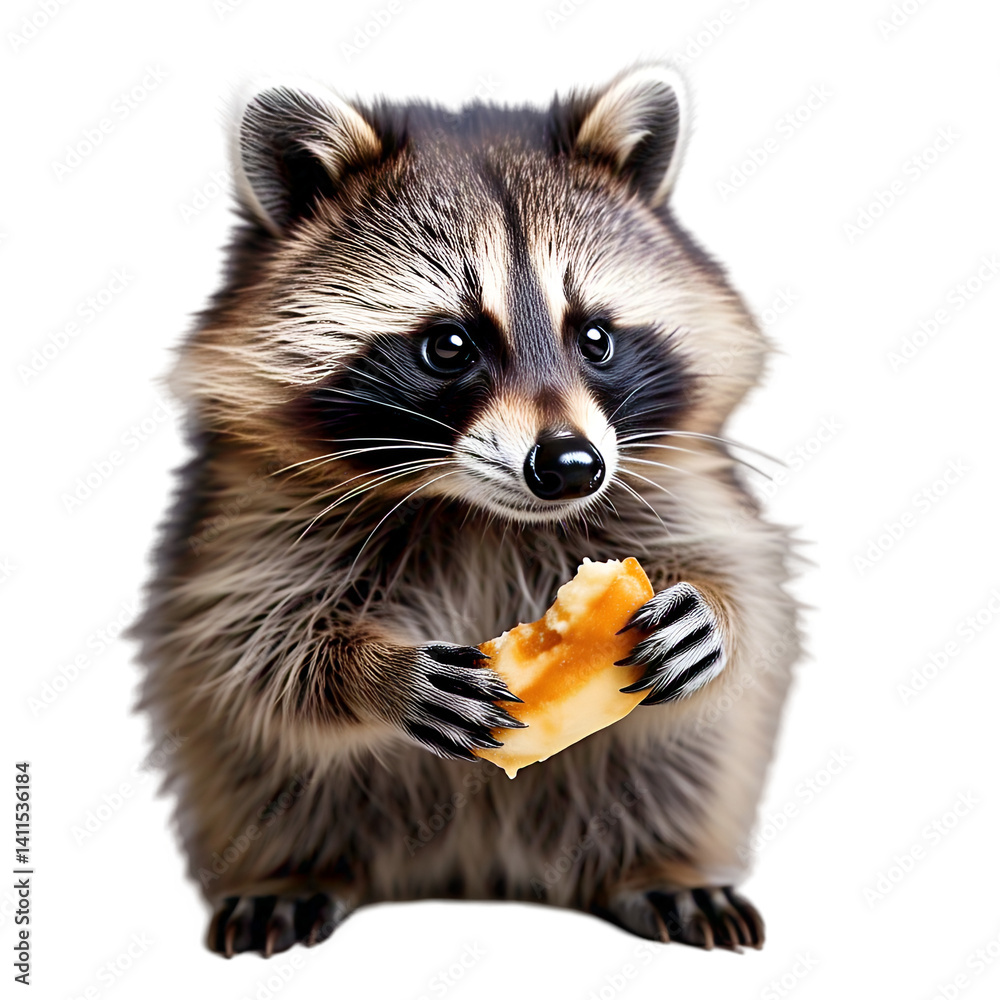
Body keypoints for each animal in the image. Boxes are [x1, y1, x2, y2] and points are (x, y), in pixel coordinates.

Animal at [131, 62, 803, 958]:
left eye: (596, 338)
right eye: (449, 345)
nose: (570, 467)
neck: (481, 509)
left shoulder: (677, 477)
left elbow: (752, 591)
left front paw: (713, 614)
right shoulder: (251, 513)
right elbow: (252, 648)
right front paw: (374, 671)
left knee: (675, 769)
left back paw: (663, 864)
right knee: (268, 781)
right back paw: (289, 871)